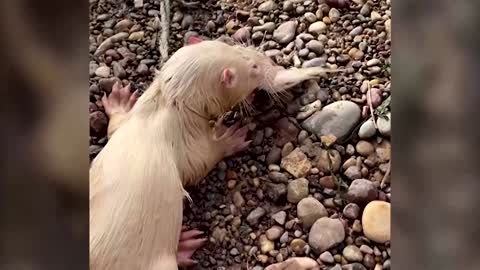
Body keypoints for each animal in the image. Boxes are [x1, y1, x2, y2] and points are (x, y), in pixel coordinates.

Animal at [92, 40, 336, 270]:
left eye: (236, 47)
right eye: (254, 68)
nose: (269, 60)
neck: (165, 102)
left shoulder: (127, 126)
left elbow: (115, 126)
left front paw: (119, 102)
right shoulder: (185, 140)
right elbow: (200, 162)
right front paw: (230, 138)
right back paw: (183, 248)